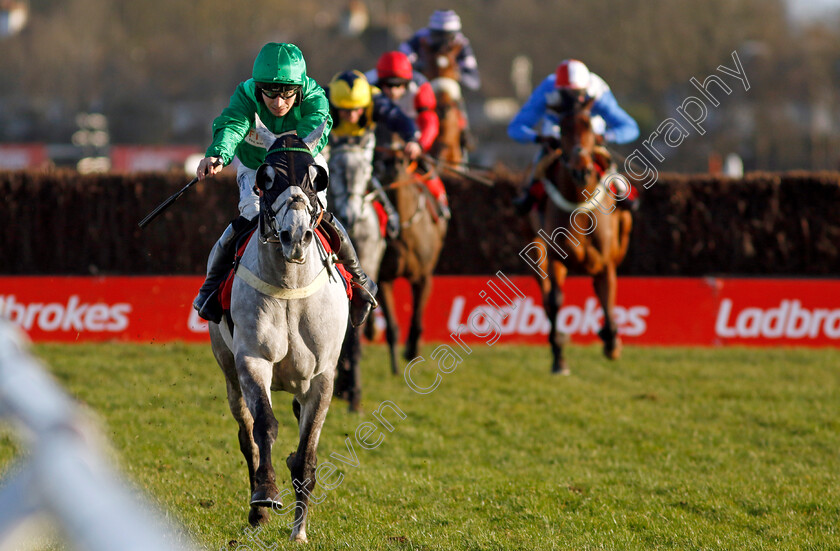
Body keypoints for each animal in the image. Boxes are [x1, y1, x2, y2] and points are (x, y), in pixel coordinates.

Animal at [210, 126, 348, 544]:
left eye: (315, 177)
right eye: (266, 179)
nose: (296, 236)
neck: (289, 287)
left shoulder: (322, 376)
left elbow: (306, 456)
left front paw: (299, 532)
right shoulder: (253, 360)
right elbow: (264, 427)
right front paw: (266, 493)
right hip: (227, 368)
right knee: (246, 431)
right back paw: (256, 510)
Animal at [378, 157, 450, 378]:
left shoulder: (423, 278)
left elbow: (417, 318)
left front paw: (412, 351)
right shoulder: (383, 279)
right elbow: (391, 328)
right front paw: (395, 367)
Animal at [528, 98, 632, 376]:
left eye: (590, 126)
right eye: (562, 128)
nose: (581, 171)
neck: (578, 204)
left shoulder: (605, 261)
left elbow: (607, 294)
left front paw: (612, 341)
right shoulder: (554, 257)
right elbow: (555, 300)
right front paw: (559, 357)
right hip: (536, 247)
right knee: (546, 295)